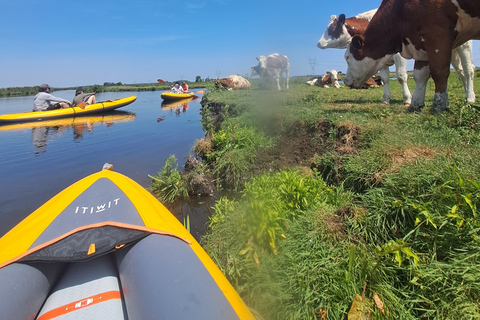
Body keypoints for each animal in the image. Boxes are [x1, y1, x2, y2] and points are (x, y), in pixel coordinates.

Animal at [318, 7, 476, 107]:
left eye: (332, 28)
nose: (318, 43)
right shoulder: (379, 59)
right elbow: (386, 79)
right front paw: (385, 99)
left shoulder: (399, 55)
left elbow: (400, 76)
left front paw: (407, 99)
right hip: (451, 52)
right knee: (460, 72)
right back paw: (467, 93)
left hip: (464, 46)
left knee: (468, 70)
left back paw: (470, 97)